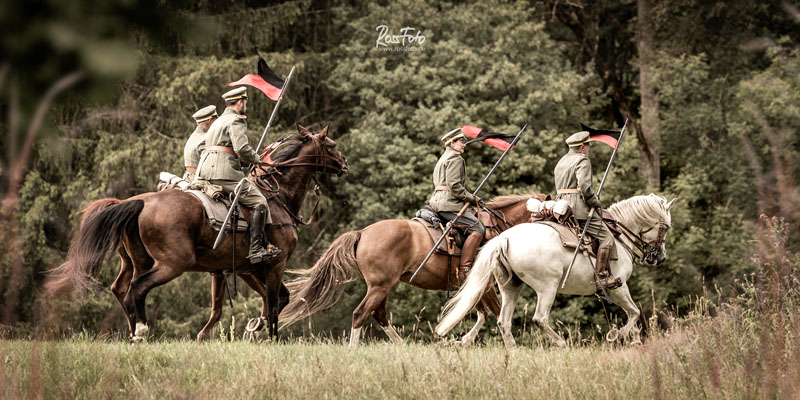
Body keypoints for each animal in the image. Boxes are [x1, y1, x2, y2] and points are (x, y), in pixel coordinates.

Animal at [44, 125, 346, 340]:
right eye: (331, 145)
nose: (345, 163)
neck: (277, 195)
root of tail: (139, 201)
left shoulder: (242, 269)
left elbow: (257, 302)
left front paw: (251, 328)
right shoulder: (274, 264)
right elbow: (272, 303)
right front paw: (270, 337)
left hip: (136, 260)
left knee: (121, 288)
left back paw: (133, 331)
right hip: (173, 263)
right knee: (137, 288)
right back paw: (141, 331)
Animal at [278, 192, 548, 346]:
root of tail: (363, 232)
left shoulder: (477, 286)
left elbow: (480, 314)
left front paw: (463, 341)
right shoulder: (486, 285)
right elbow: (494, 314)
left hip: (382, 287)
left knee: (378, 315)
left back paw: (401, 347)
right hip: (380, 286)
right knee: (361, 314)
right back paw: (354, 349)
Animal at [438, 194, 676, 346]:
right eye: (666, 227)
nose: (660, 257)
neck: (618, 234)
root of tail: (504, 238)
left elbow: (632, 315)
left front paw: (633, 341)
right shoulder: (618, 286)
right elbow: (634, 312)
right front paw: (616, 335)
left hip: (510, 287)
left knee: (503, 322)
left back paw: (514, 351)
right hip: (548, 287)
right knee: (540, 318)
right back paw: (561, 343)